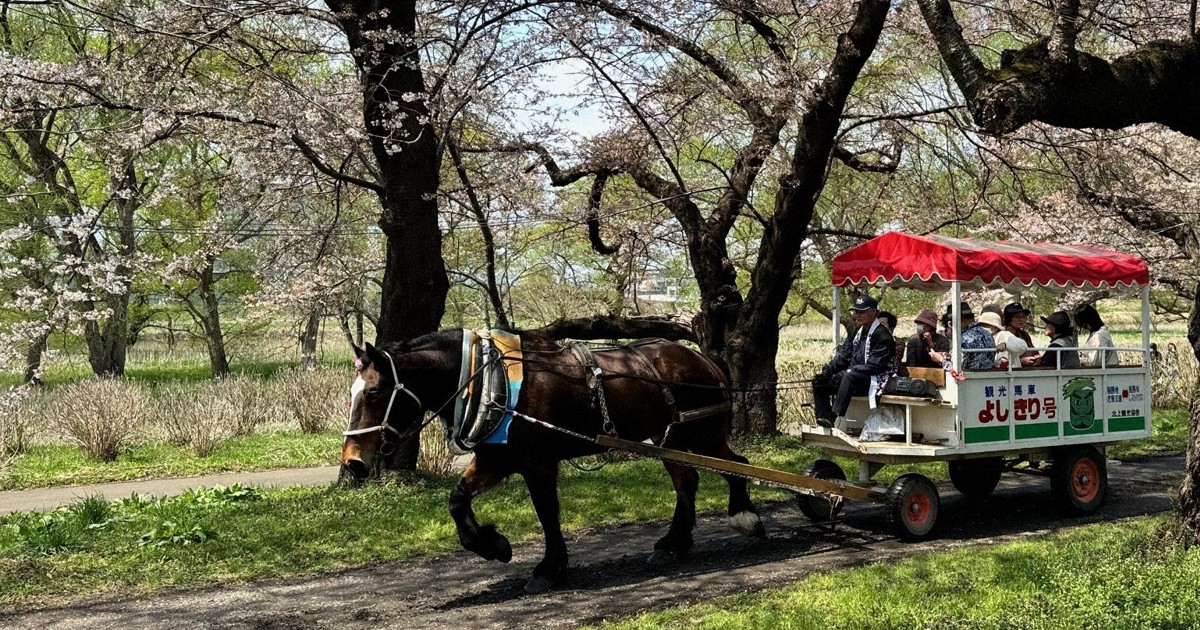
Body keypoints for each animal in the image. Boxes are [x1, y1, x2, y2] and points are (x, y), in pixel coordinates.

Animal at [340, 329, 764, 594]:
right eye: (352, 392)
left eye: (374, 392)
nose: (353, 462)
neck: (490, 380)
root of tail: (702, 359)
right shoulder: (497, 457)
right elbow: (458, 499)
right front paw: (492, 545)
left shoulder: (538, 462)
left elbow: (547, 512)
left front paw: (549, 568)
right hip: (668, 438)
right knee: (687, 480)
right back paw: (673, 543)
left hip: (702, 433)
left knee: (735, 465)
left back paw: (745, 516)